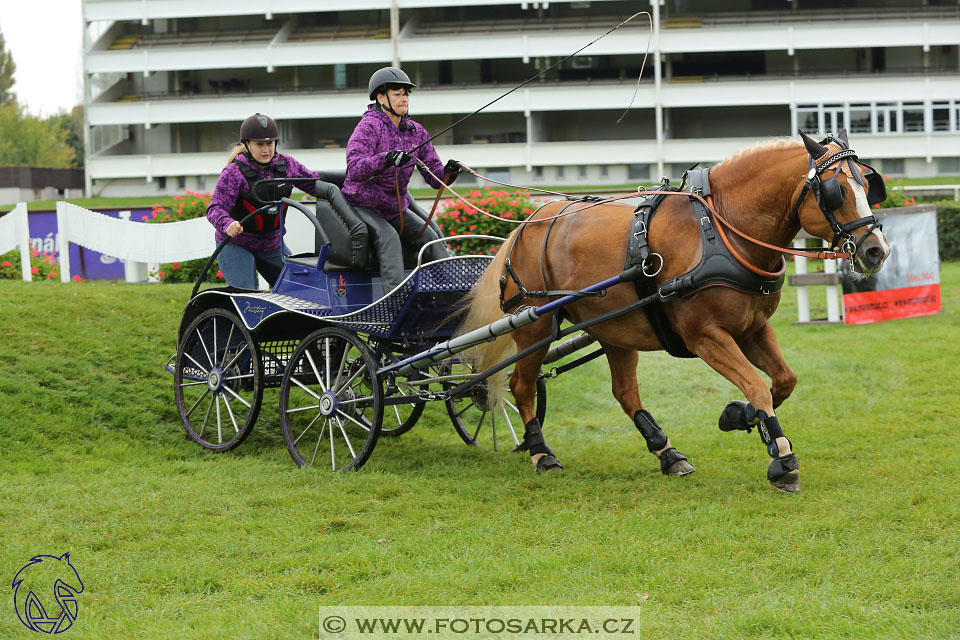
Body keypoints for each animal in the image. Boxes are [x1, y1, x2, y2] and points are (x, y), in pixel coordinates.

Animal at [462, 129, 888, 490]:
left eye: (869, 185)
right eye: (836, 191)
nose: (877, 250)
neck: (720, 231)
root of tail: (527, 224)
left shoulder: (753, 328)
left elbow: (783, 380)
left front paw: (738, 415)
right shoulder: (705, 336)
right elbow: (755, 385)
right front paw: (782, 459)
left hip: (615, 328)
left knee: (624, 392)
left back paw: (667, 453)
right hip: (535, 325)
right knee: (521, 385)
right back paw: (541, 453)